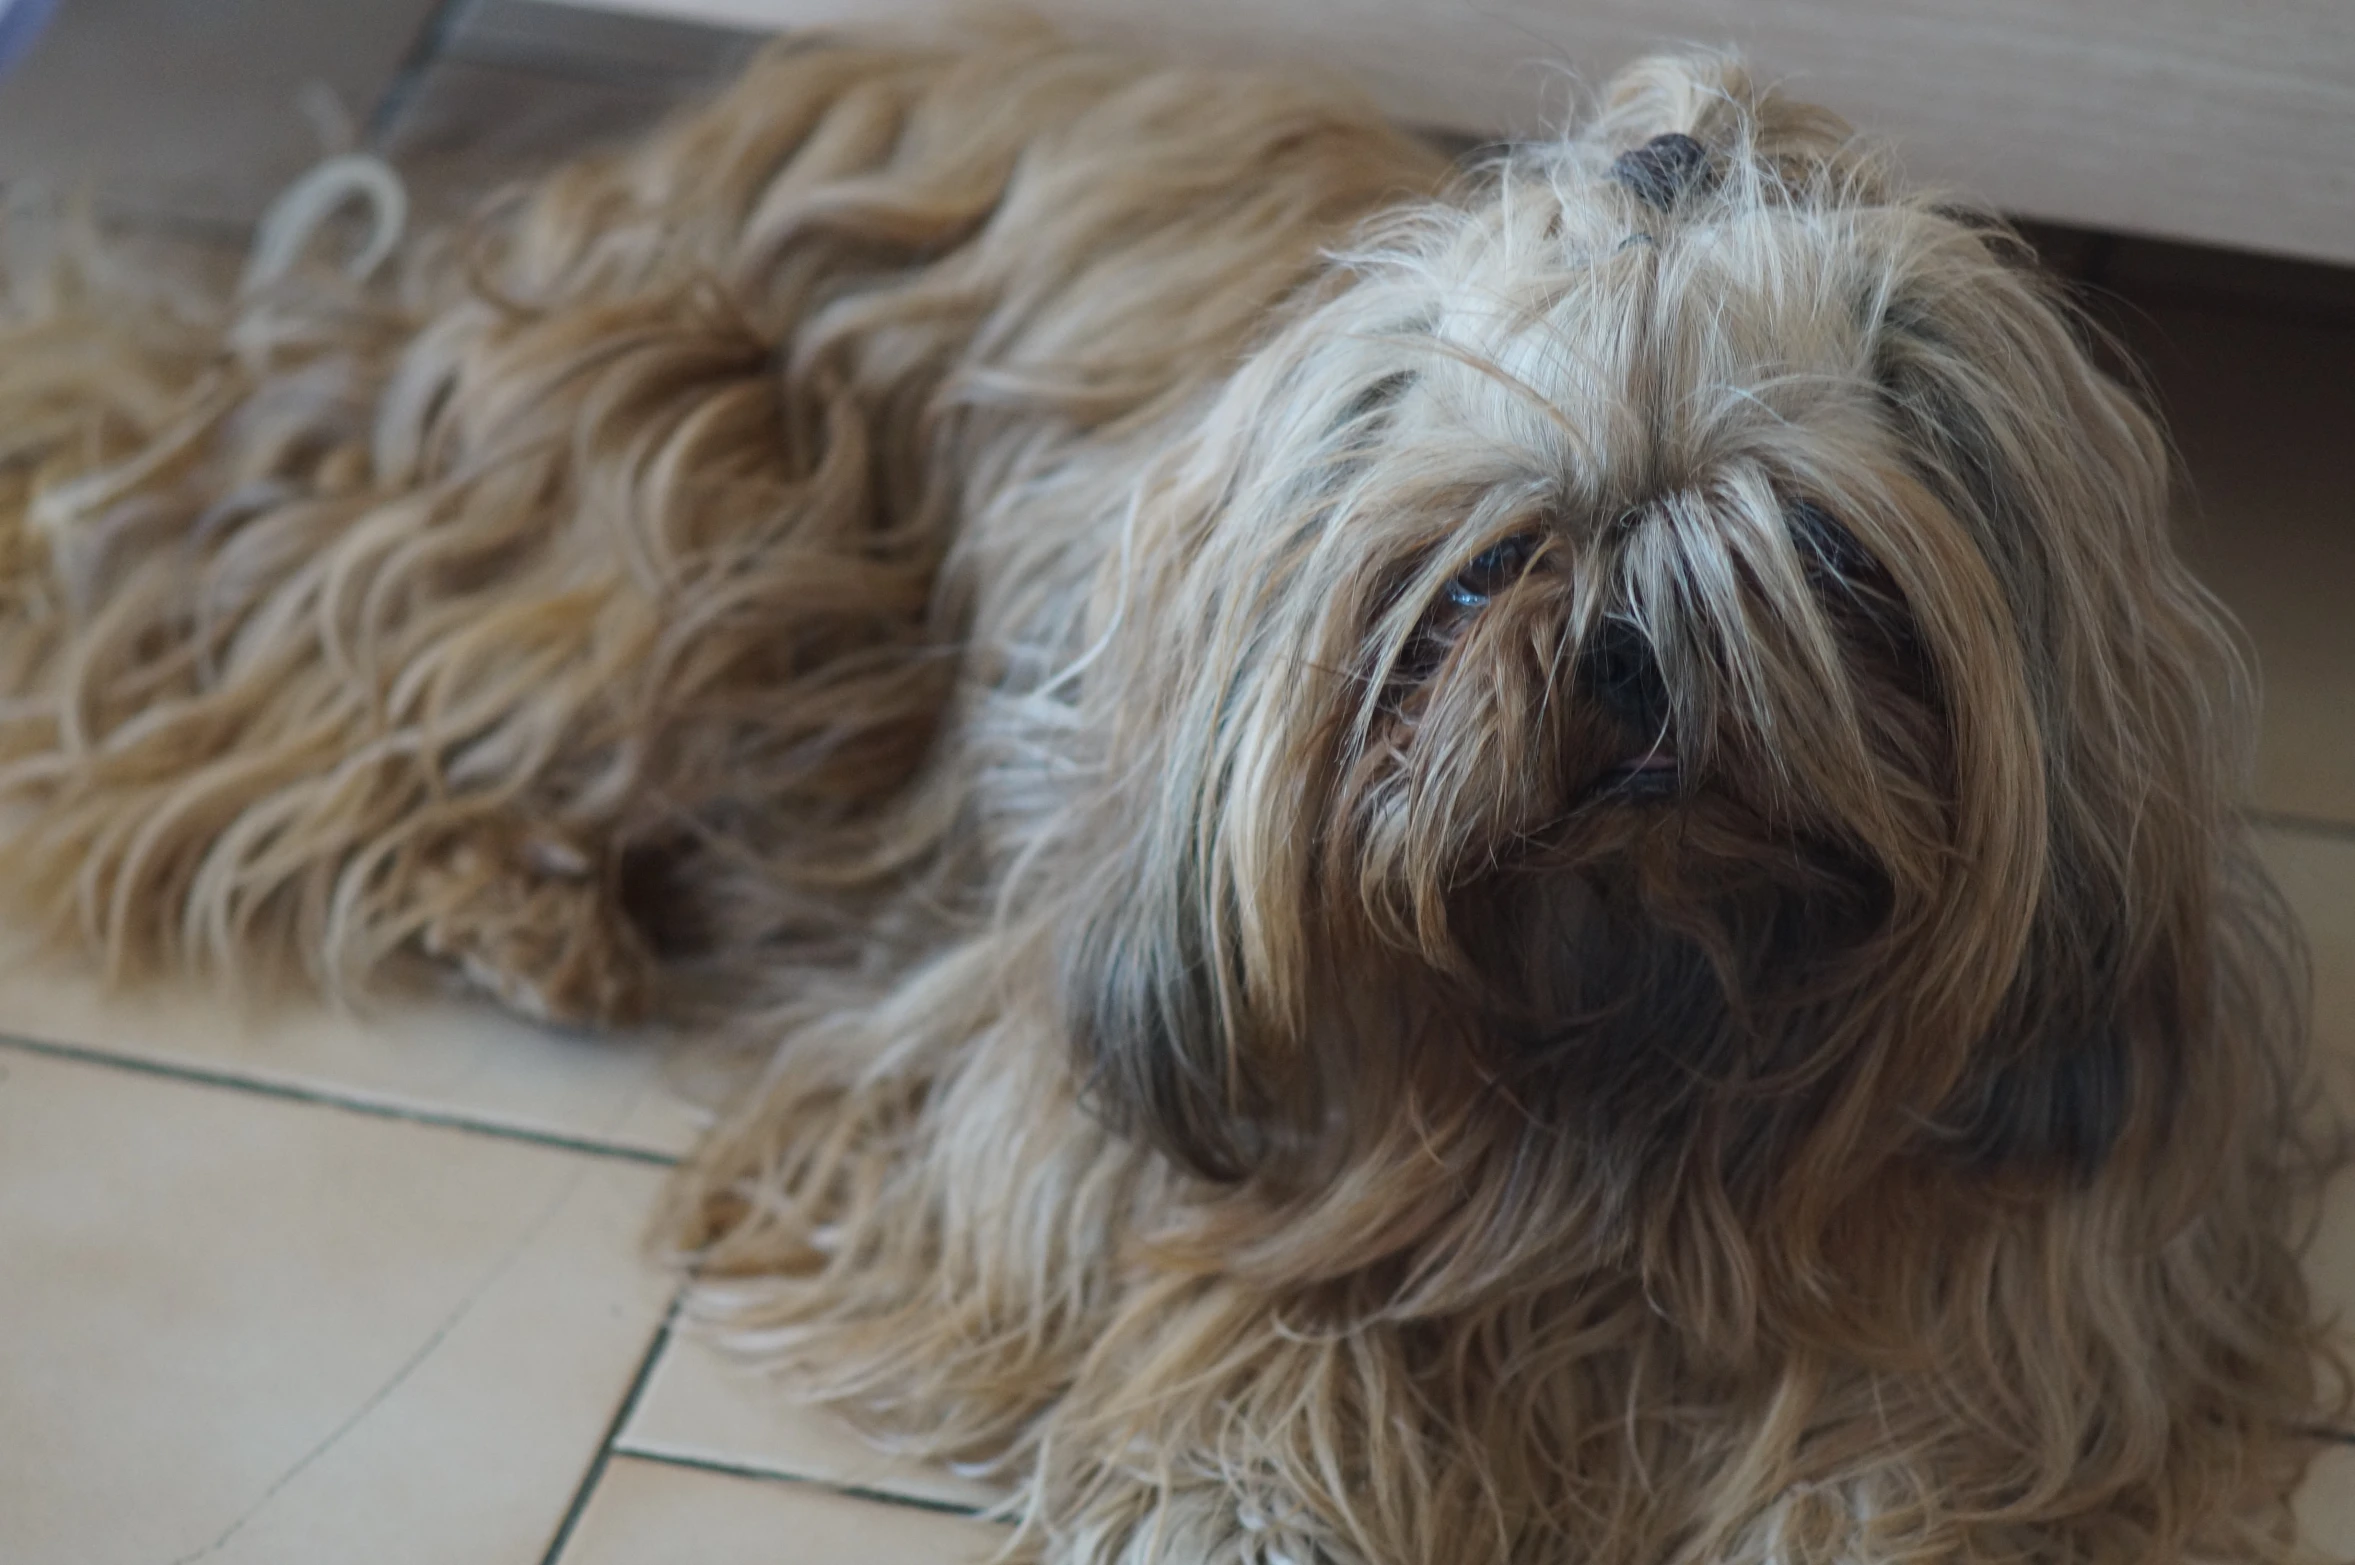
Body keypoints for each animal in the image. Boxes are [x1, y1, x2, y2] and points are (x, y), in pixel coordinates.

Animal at [0, 24, 2336, 1562]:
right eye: (1474, 575)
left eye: (1822, 560)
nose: (1624, 654)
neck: (1636, 1044)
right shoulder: (1062, 1122)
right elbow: (1243, 1326)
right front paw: (1261, 1491)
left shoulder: (2040, 1292)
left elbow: (1908, 1443)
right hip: (680, 529)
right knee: (293, 710)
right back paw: (530, 908)